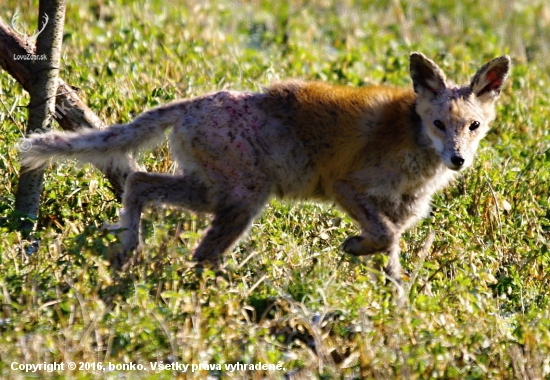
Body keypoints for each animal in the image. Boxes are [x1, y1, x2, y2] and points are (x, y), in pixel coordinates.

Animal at [21, 54, 512, 284]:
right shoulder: (344, 186)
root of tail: (195, 102)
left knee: (140, 183)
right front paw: (354, 248)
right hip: (243, 200)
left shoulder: (402, 210)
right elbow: (386, 237)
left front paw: (394, 301)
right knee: (200, 253)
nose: (458, 159)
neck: (413, 145)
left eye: (473, 126)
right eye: (438, 124)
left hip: (213, 194)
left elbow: (392, 250)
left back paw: (128, 250)